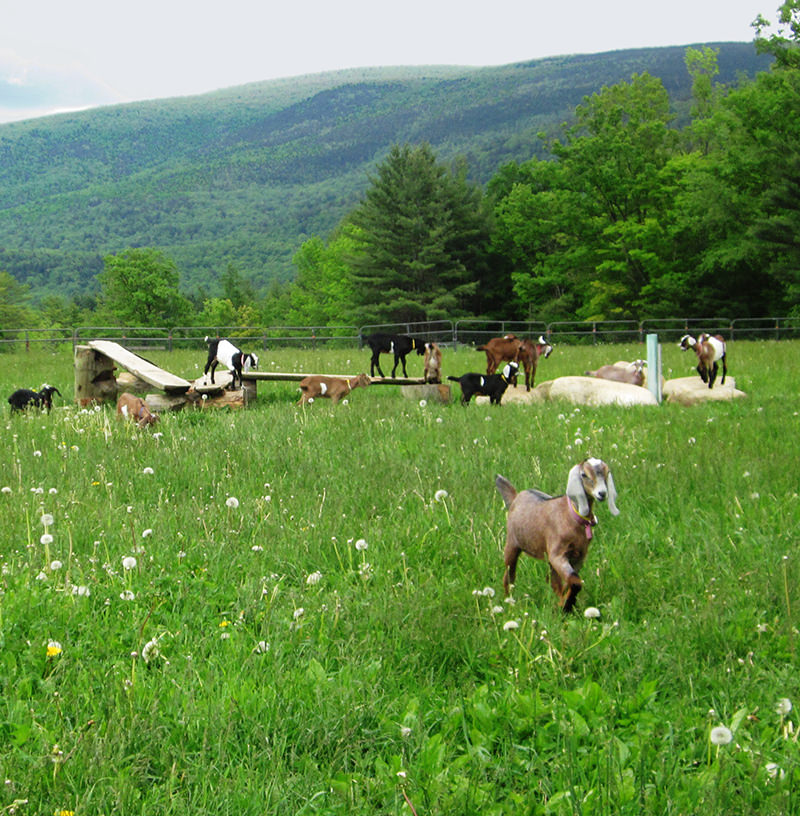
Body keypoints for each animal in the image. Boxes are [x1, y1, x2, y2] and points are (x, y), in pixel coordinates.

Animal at [496, 460, 620, 612]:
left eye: (607, 472)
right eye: (584, 474)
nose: (602, 493)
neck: (571, 516)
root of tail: (516, 496)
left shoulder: (579, 556)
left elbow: (572, 581)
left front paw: (564, 604)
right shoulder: (558, 554)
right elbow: (575, 581)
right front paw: (566, 606)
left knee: (550, 579)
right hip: (512, 545)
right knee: (509, 576)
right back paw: (509, 602)